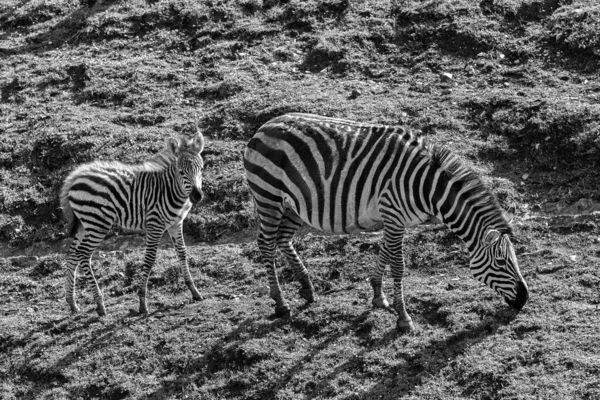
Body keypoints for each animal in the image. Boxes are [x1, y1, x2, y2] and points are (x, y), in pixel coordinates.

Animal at [60, 131, 206, 316]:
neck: (169, 190)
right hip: (98, 223)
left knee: (72, 254)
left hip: (85, 224)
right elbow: (150, 259)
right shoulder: (155, 225)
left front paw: (194, 291)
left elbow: (182, 253)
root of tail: (75, 176)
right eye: (181, 172)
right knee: (83, 253)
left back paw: (72, 303)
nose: (197, 196)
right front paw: (142, 303)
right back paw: (100, 305)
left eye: (201, 169)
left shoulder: (175, 223)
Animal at [241, 111, 528, 332]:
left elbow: (385, 254)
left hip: (292, 206)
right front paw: (403, 318)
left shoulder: (393, 219)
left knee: (282, 239)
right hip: (268, 196)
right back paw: (281, 304)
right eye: (501, 263)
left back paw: (307, 288)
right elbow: (398, 265)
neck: (426, 187)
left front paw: (378, 296)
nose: (525, 299)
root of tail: (264, 127)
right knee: (266, 244)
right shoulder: (393, 213)